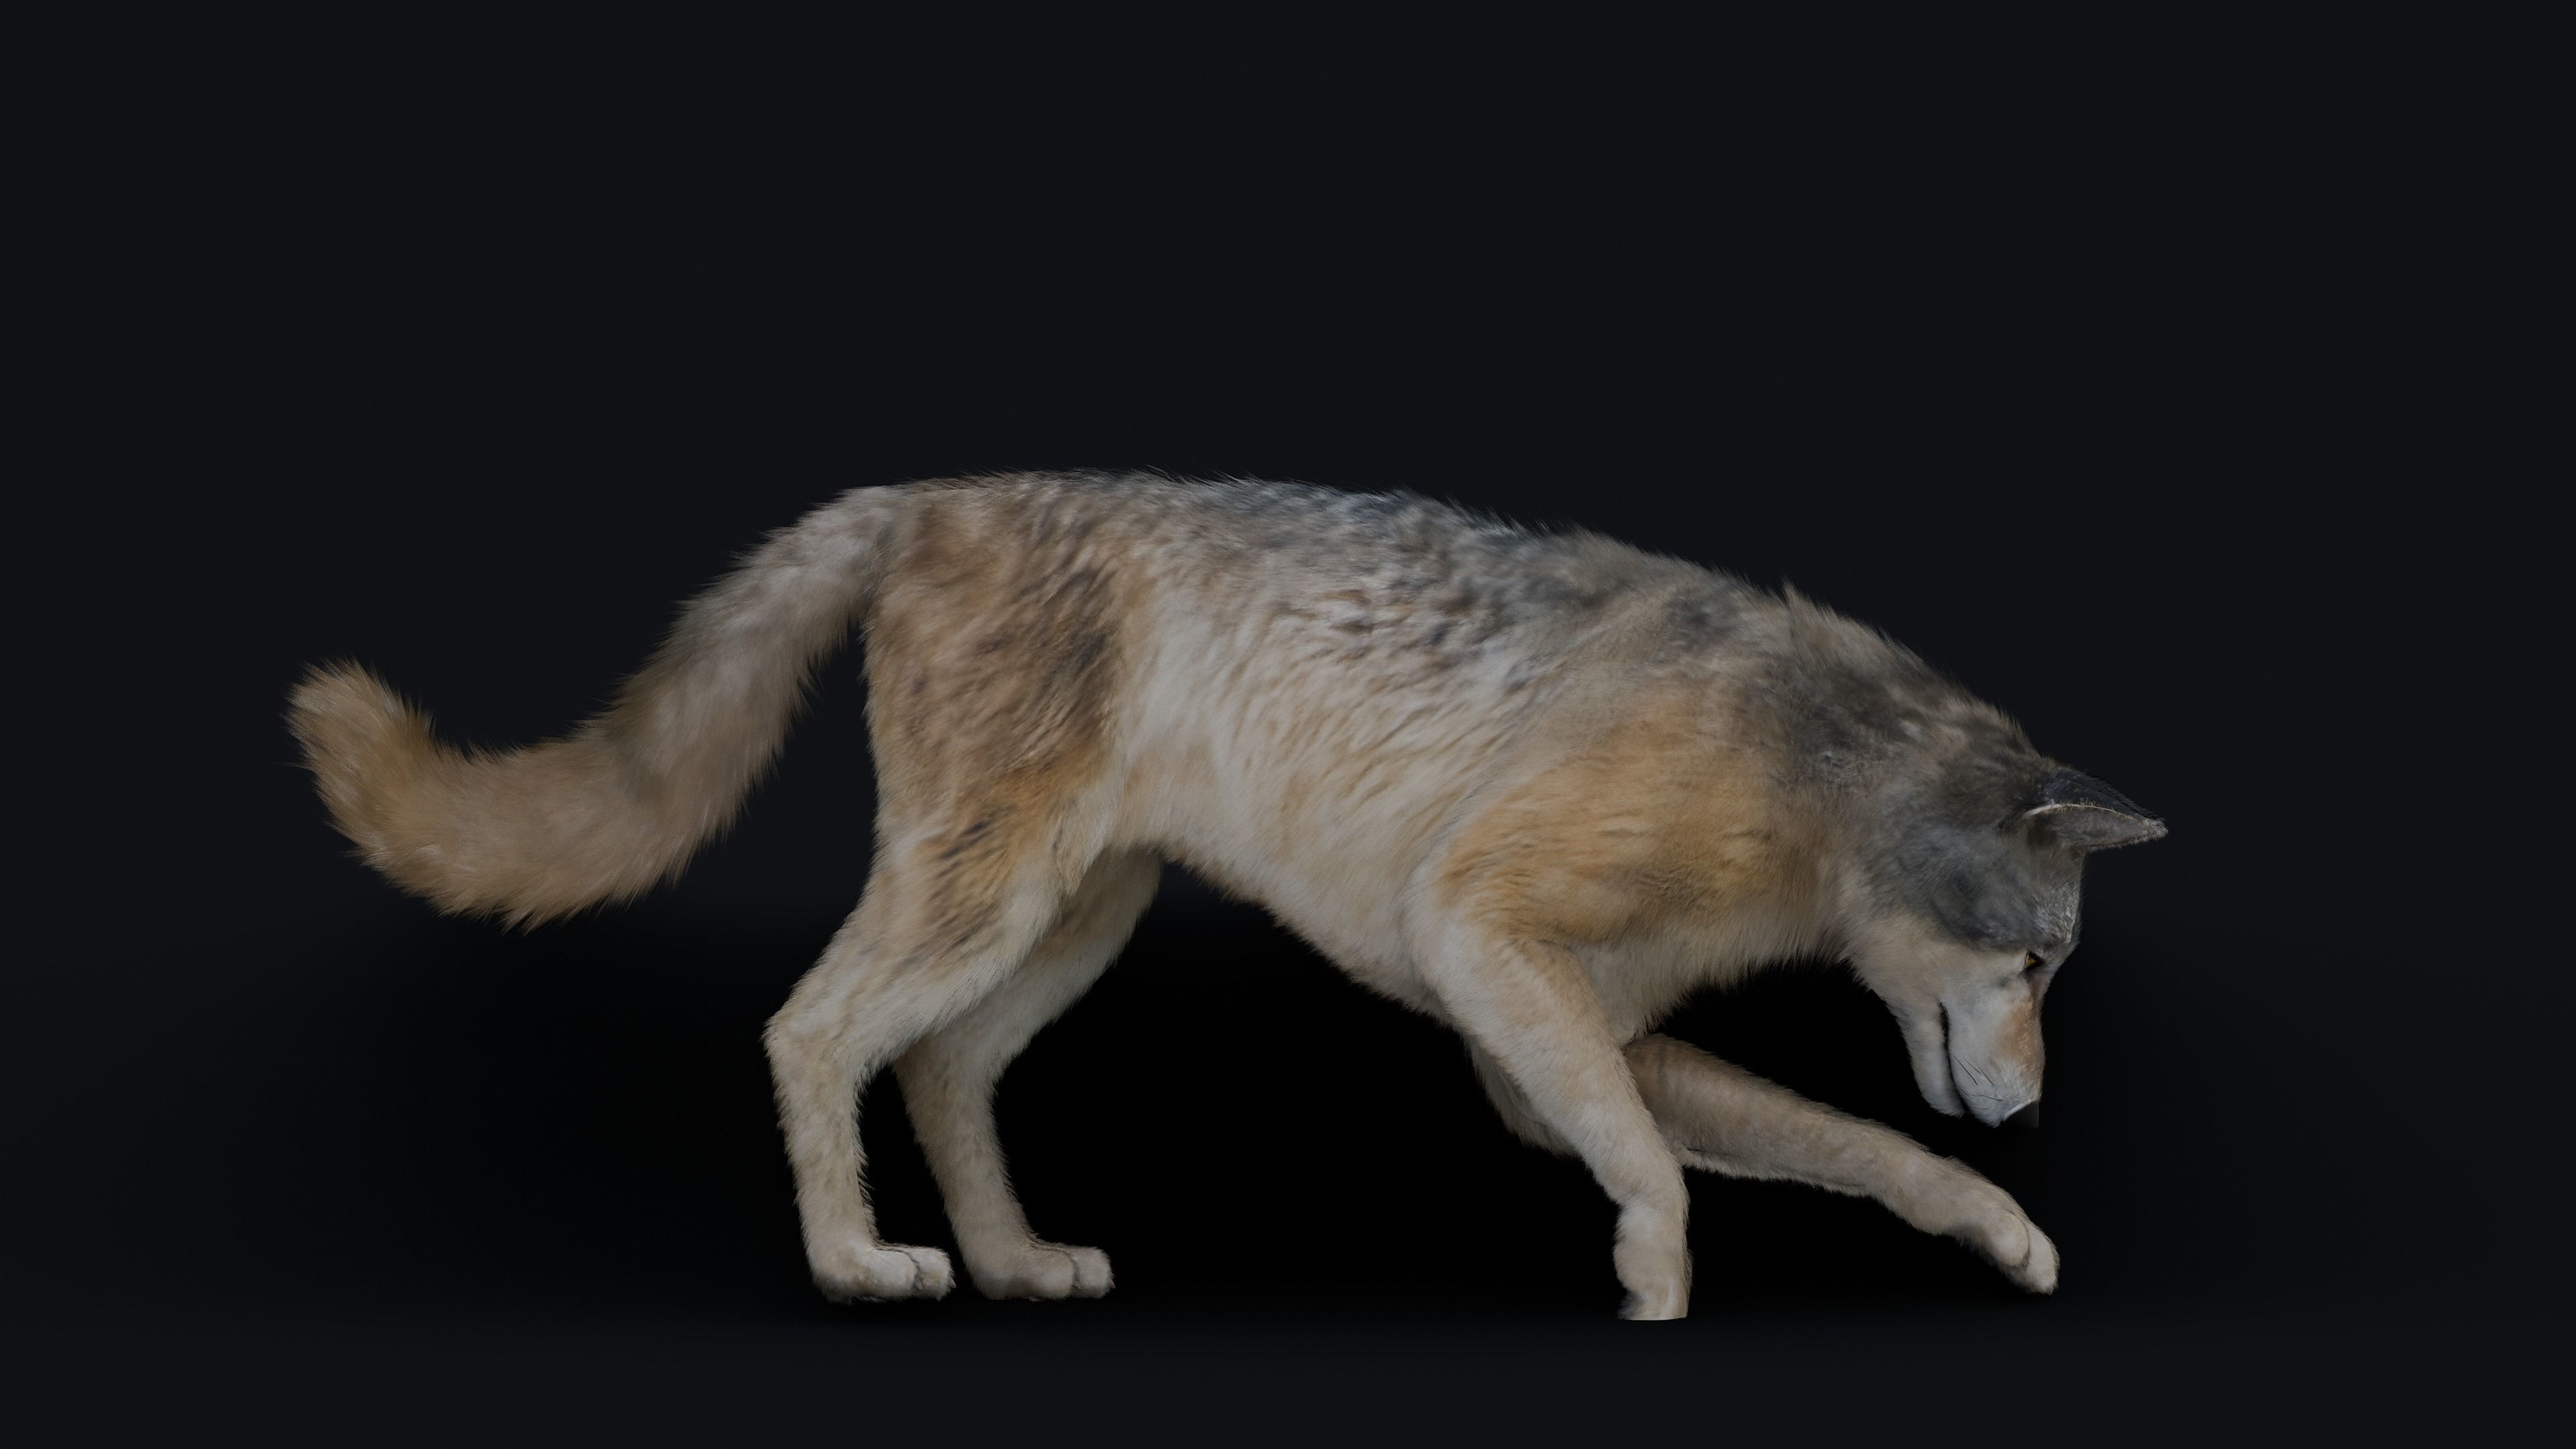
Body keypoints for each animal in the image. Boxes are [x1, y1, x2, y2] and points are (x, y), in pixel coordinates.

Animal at [289, 473, 2164, 1319]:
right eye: (2036, 967)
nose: (2033, 1108)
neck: (1806, 776)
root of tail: (926, 497)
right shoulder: (1482, 940)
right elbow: (1656, 1168)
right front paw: (1656, 1280)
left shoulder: (1564, 1032)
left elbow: (1871, 1152)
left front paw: (1996, 1222)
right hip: (984, 902)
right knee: (808, 1029)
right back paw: (854, 1261)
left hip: (1064, 925)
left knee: (936, 1068)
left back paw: (1013, 1261)